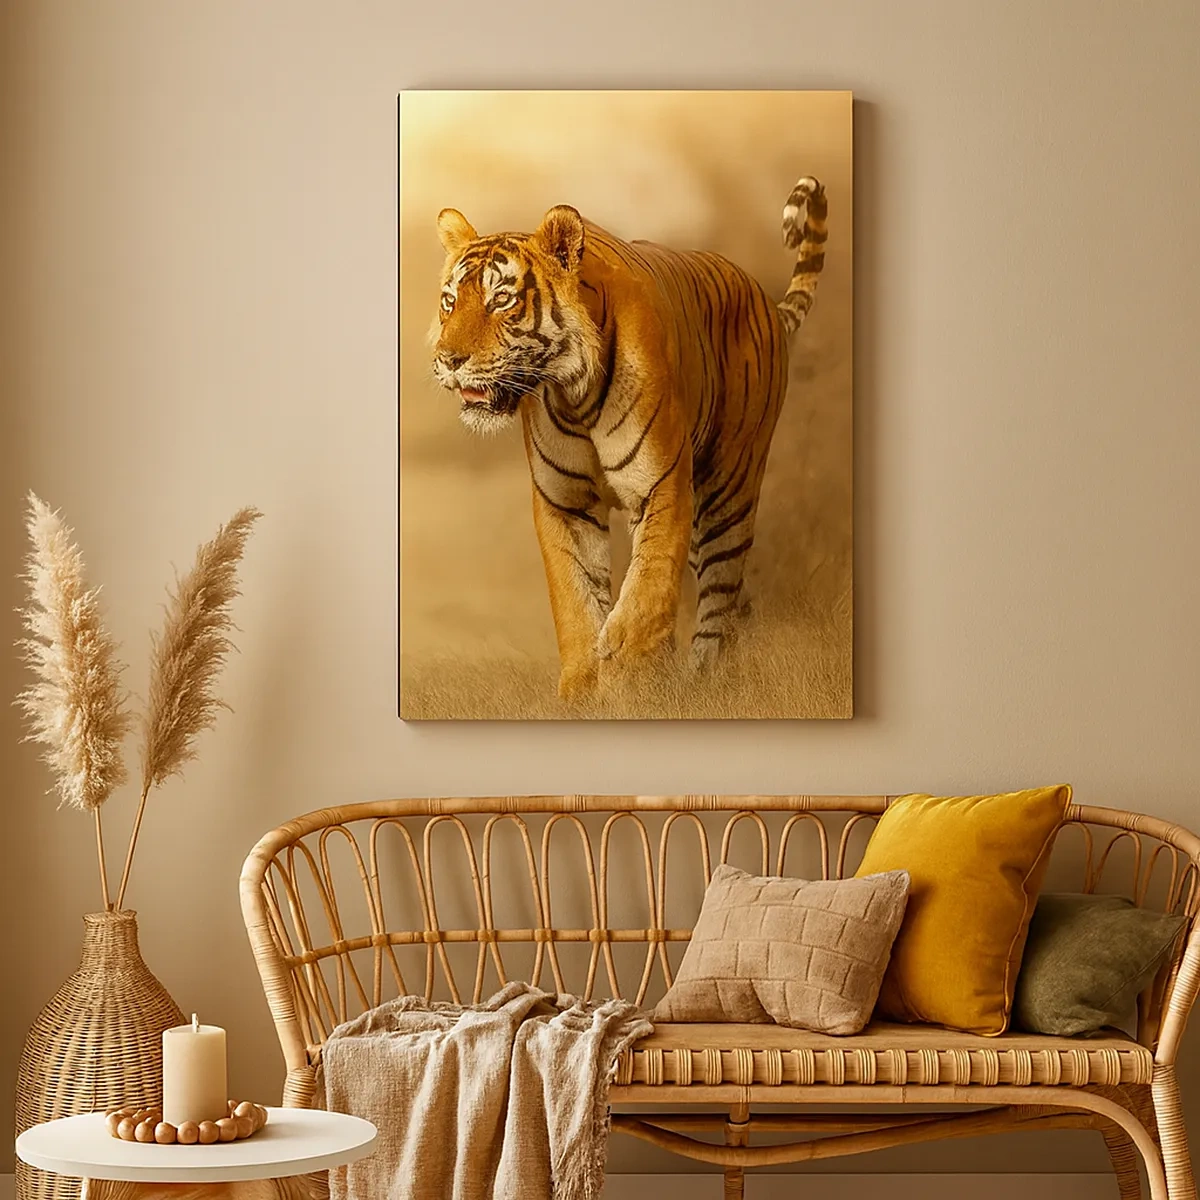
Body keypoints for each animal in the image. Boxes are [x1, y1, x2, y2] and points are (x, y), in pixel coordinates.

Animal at [430, 176, 827, 700]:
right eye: (450, 301)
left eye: (502, 299)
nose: (448, 360)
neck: (571, 392)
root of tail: (765, 298)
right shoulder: (565, 503)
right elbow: (575, 599)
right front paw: (583, 688)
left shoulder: (662, 485)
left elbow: (647, 587)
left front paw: (632, 678)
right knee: (737, 599)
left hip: (728, 490)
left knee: (720, 594)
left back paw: (706, 678)